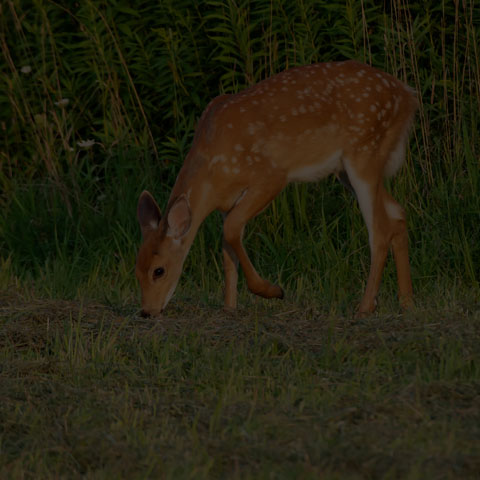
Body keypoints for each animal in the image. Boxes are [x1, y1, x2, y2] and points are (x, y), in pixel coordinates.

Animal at [135, 60, 416, 316]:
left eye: (159, 271)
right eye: (136, 269)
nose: (147, 311)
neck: (214, 168)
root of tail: (407, 95)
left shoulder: (271, 176)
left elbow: (232, 229)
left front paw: (272, 291)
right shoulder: (227, 202)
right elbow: (227, 250)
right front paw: (229, 307)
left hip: (364, 152)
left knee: (379, 230)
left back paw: (366, 307)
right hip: (348, 169)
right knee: (397, 212)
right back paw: (406, 302)